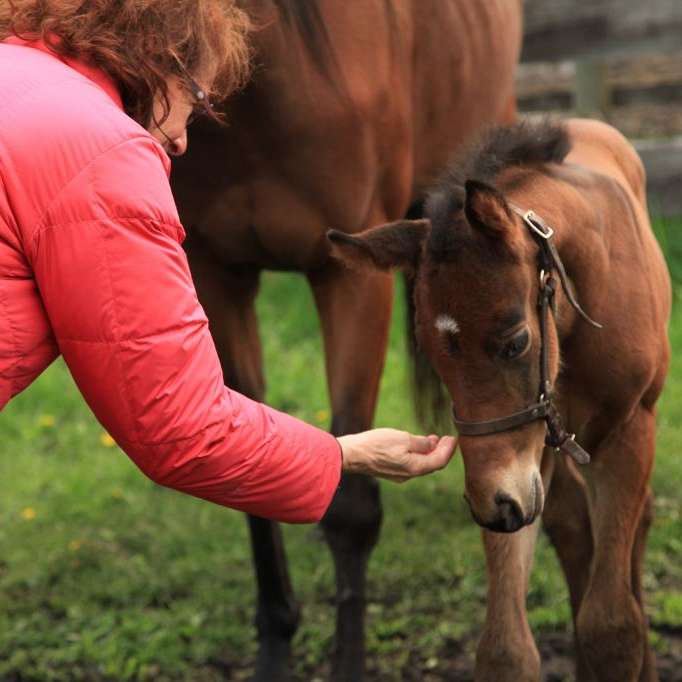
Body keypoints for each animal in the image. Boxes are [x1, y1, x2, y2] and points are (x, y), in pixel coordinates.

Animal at [330, 117, 668, 680]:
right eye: (431, 354)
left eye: (515, 341)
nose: (495, 506)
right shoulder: (517, 467)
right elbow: (505, 647)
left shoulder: (628, 429)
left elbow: (613, 625)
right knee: (573, 527)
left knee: (633, 528)